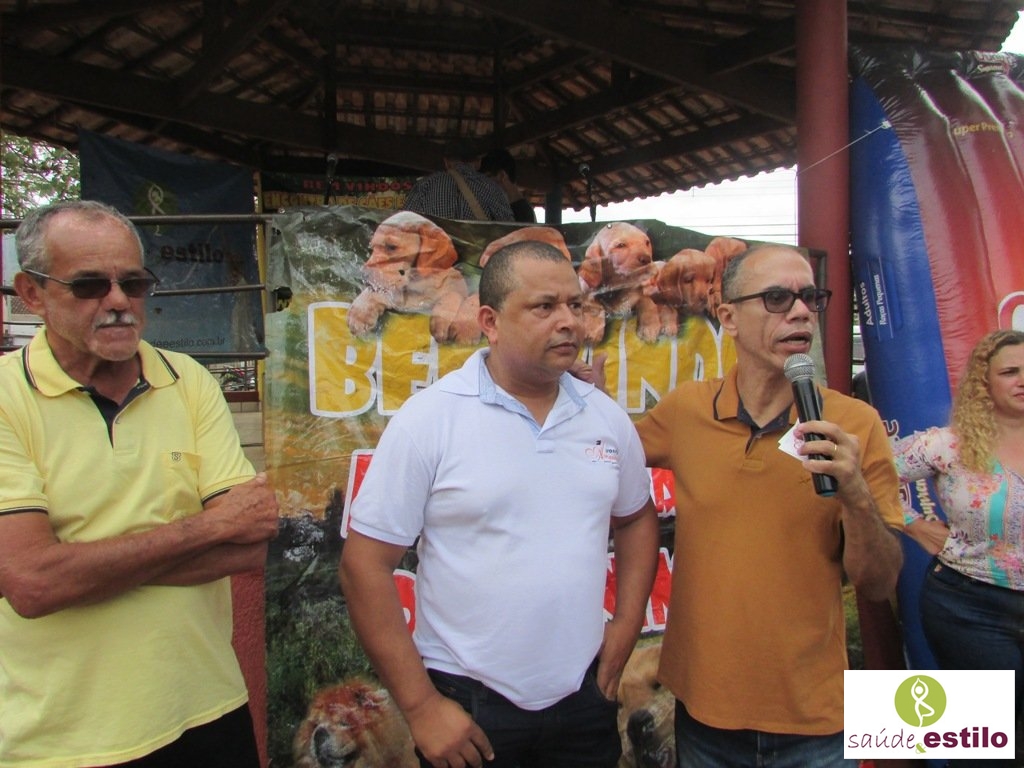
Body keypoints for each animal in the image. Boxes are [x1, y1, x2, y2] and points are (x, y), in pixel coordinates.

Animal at [347, 211, 468, 343]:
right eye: (372, 249)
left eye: (391, 247)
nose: (363, 275)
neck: (414, 282)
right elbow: (374, 292)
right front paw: (359, 314)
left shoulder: (458, 283)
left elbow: (451, 295)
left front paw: (440, 321)